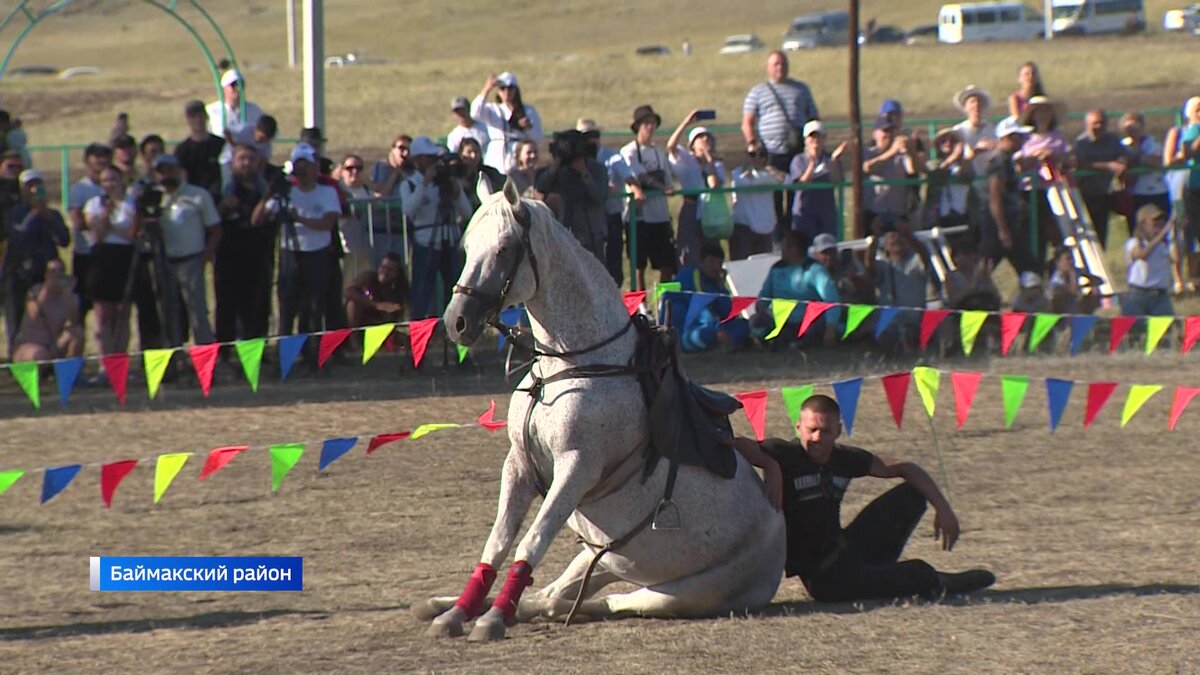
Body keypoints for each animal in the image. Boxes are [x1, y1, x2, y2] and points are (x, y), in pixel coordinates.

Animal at [422, 180, 787, 638]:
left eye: (505, 248)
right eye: (468, 247)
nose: (456, 323)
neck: (569, 365)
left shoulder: (576, 468)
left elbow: (531, 541)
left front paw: (489, 621)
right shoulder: (518, 464)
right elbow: (498, 542)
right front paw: (458, 613)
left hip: (666, 594)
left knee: (597, 603)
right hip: (601, 559)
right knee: (555, 595)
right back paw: (444, 604)